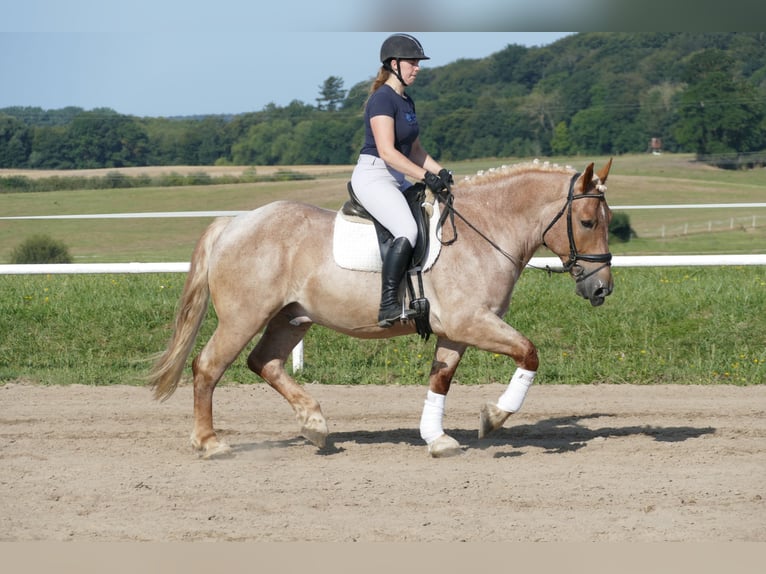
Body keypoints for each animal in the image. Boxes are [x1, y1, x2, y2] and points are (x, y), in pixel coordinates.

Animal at [150, 158, 616, 460]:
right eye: (588, 222)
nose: (601, 289)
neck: (484, 230)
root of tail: (234, 223)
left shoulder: (456, 330)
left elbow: (440, 379)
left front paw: (437, 438)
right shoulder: (472, 322)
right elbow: (529, 353)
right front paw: (494, 417)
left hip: (291, 317)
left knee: (265, 362)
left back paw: (315, 425)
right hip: (243, 317)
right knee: (208, 366)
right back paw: (210, 443)